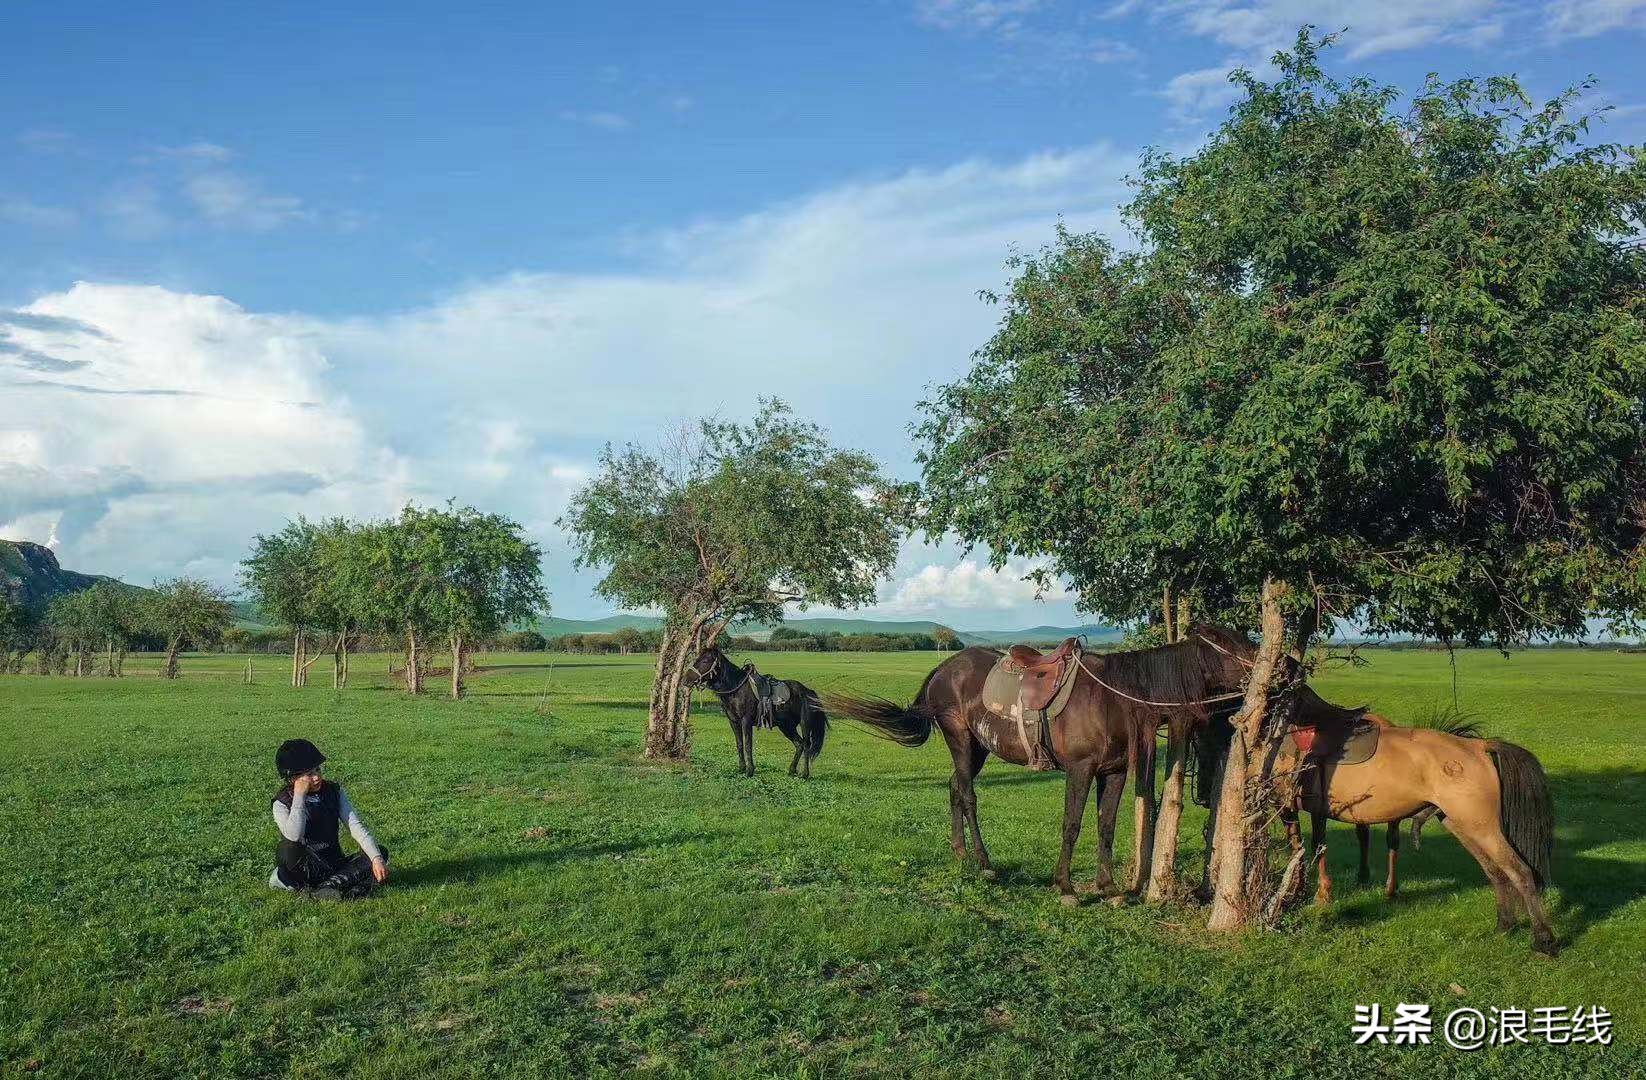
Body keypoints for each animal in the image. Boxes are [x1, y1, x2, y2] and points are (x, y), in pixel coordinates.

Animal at [684, 648, 829, 777]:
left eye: (705, 661)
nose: (686, 680)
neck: (736, 688)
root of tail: (808, 691)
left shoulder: (746, 721)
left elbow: (748, 745)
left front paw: (750, 771)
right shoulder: (734, 722)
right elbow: (740, 744)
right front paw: (741, 768)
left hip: (805, 725)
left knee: (806, 744)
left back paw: (805, 774)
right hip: (786, 726)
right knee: (799, 744)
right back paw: (791, 770)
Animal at [823, 628, 1244, 895]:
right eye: (1235, 648)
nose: (1270, 665)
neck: (1113, 697)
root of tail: (943, 670)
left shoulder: (1114, 772)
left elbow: (1106, 826)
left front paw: (1108, 888)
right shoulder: (1080, 769)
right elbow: (1072, 824)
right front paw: (1066, 887)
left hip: (977, 748)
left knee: (955, 788)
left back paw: (960, 853)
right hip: (960, 740)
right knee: (968, 796)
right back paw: (984, 862)